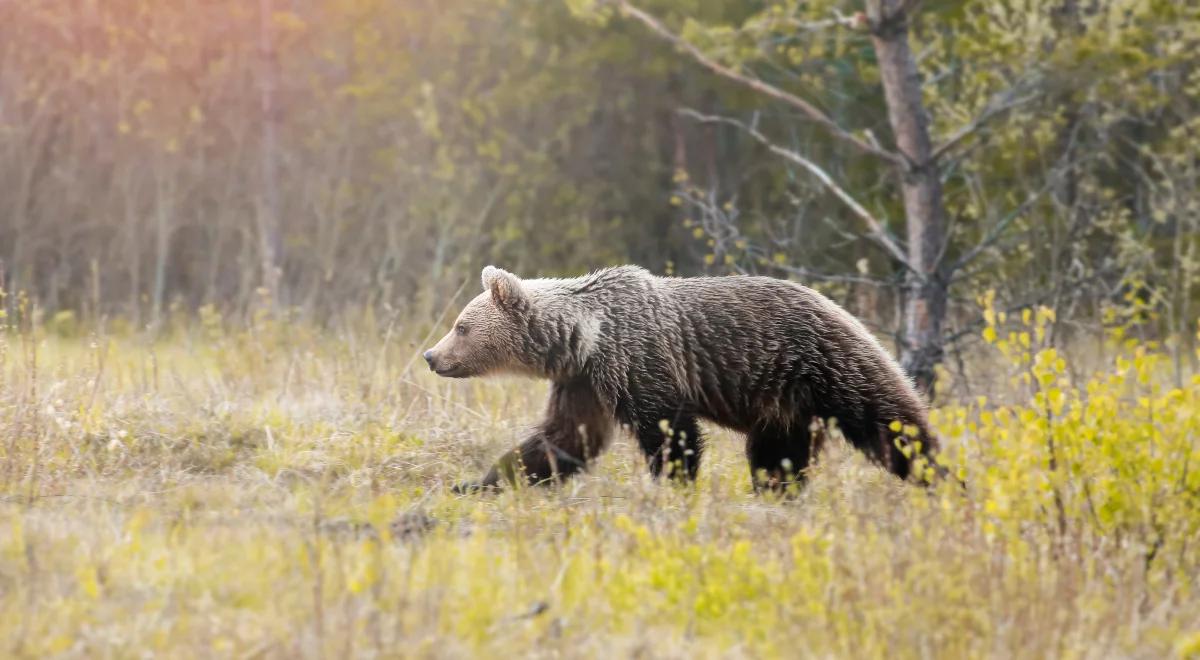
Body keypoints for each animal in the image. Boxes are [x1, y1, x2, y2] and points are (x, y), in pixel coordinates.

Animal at [422, 265, 936, 492]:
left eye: (461, 326)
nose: (431, 356)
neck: (584, 337)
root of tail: (841, 307)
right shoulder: (585, 382)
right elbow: (563, 439)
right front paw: (480, 482)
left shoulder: (638, 361)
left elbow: (670, 432)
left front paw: (672, 487)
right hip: (786, 402)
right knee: (776, 455)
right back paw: (776, 491)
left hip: (827, 365)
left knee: (892, 425)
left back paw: (940, 477)